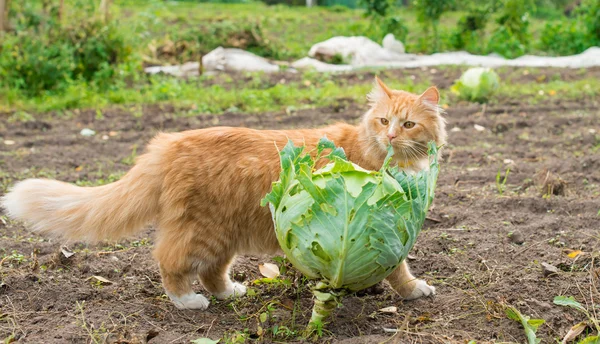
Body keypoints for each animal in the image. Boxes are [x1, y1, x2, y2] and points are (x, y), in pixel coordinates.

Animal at [2, 77, 446, 310]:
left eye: (408, 124)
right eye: (384, 121)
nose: (391, 137)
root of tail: (167, 144)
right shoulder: (386, 226)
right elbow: (399, 269)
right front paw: (414, 290)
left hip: (224, 233)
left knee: (211, 271)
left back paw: (229, 292)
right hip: (202, 232)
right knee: (170, 263)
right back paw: (187, 301)